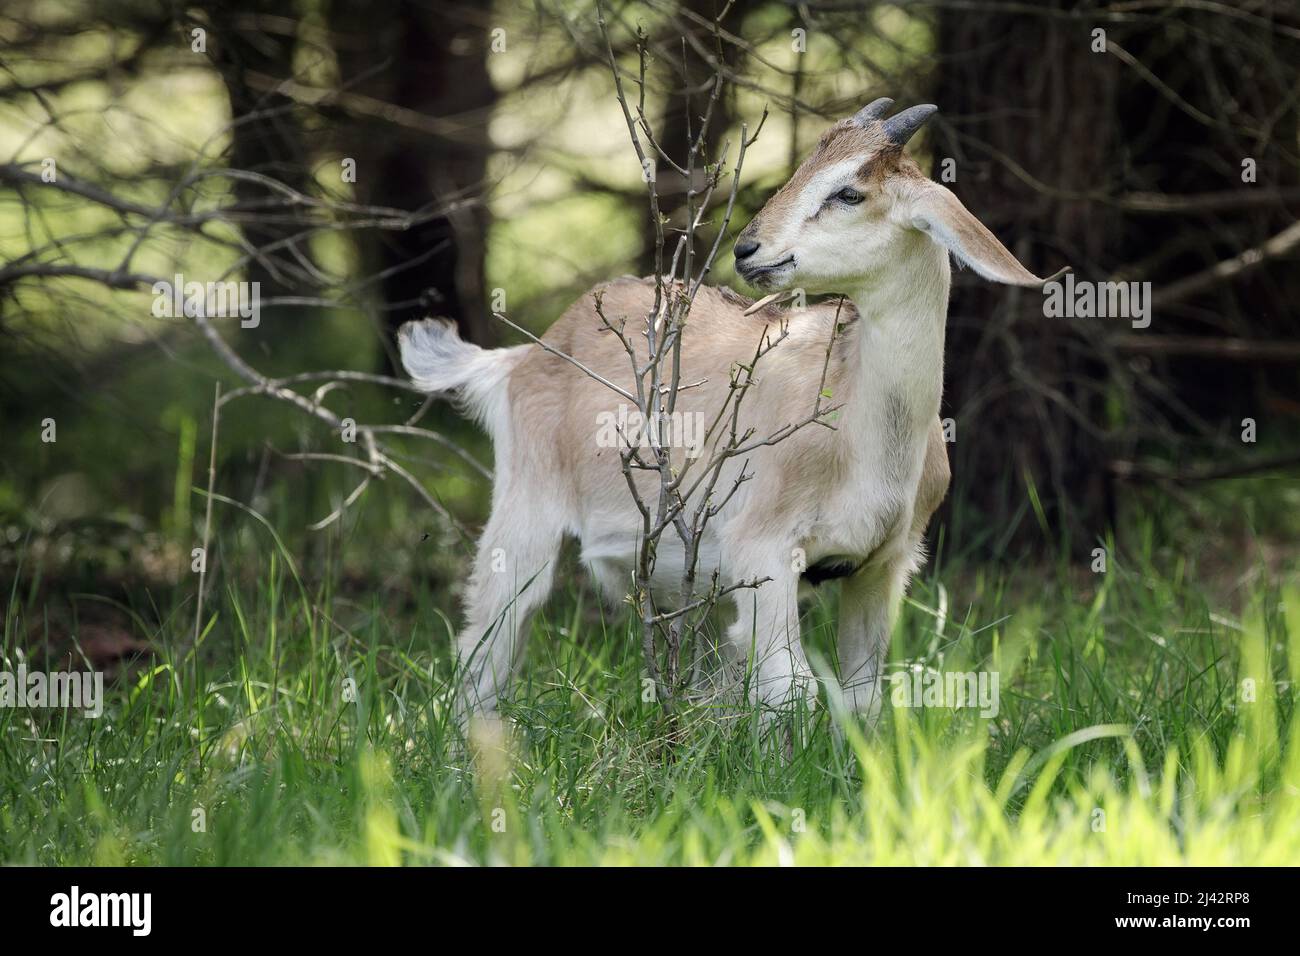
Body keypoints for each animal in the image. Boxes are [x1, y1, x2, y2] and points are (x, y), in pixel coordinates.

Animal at [400, 98, 1060, 723]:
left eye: (849, 191)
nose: (748, 250)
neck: (865, 433)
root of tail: (522, 358)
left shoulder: (881, 566)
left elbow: (864, 696)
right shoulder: (762, 547)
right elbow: (791, 687)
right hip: (526, 510)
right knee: (487, 642)